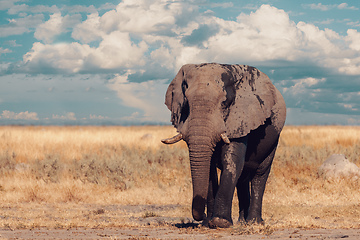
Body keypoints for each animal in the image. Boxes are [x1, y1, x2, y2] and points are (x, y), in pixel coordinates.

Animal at [162, 62, 286, 228]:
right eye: (186, 103)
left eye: (224, 103)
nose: (201, 216)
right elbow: (210, 168)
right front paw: (208, 223)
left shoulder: (241, 118)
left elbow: (231, 161)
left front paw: (220, 222)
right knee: (243, 177)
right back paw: (242, 222)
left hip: (274, 138)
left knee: (260, 174)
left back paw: (254, 222)